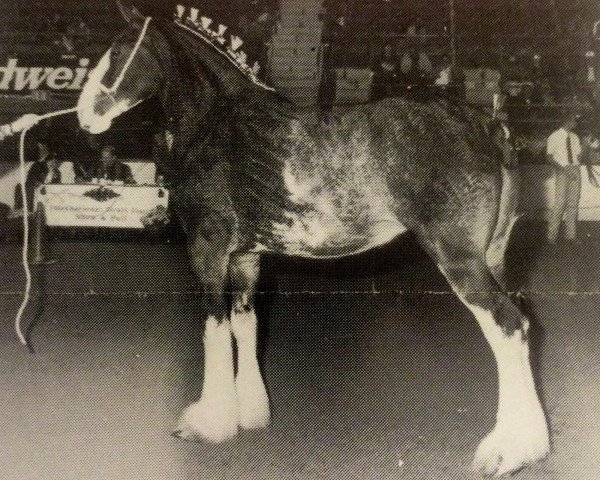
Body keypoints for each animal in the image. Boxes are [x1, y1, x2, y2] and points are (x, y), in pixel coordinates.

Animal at [77, 2, 552, 476]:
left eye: (117, 51)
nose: (84, 117)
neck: (219, 123)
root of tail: (488, 125)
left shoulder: (208, 250)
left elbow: (214, 329)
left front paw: (208, 422)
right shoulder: (246, 258)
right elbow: (244, 326)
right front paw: (250, 413)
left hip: (459, 260)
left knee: (507, 325)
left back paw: (503, 451)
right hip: (492, 255)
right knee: (523, 322)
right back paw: (531, 444)